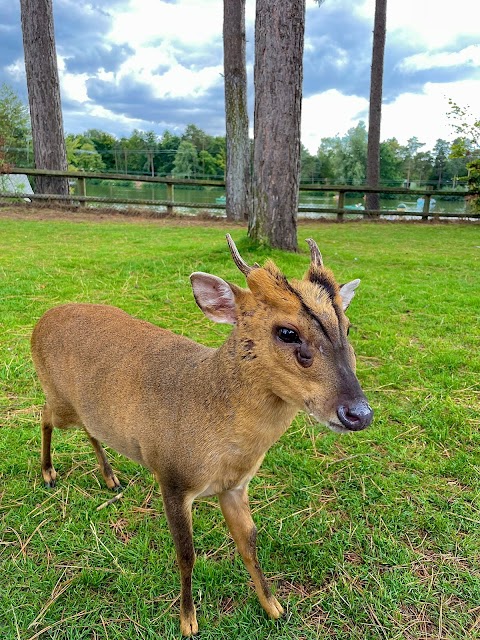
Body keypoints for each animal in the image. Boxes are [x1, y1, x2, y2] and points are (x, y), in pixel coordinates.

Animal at [31, 235, 374, 636]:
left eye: (347, 327)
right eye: (287, 332)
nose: (358, 413)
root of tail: (42, 319)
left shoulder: (235, 486)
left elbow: (249, 541)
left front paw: (274, 607)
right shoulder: (172, 477)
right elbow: (186, 553)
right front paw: (188, 621)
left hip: (88, 409)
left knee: (89, 429)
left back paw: (111, 478)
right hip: (58, 397)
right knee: (44, 415)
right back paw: (49, 473)